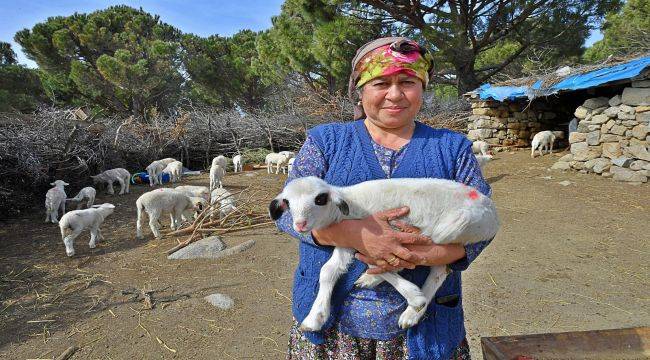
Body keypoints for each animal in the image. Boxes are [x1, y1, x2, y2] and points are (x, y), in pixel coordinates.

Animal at [268, 176, 496, 332]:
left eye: (320, 199)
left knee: (431, 265)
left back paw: (410, 306)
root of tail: (493, 216)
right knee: (438, 269)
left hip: (451, 228)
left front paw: (414, 297)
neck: (346, 207)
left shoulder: (376, 239)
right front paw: (315, 317)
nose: (300, 225)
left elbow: (378, 262)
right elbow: (328, 271)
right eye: (287, 202)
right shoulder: (347, 242)